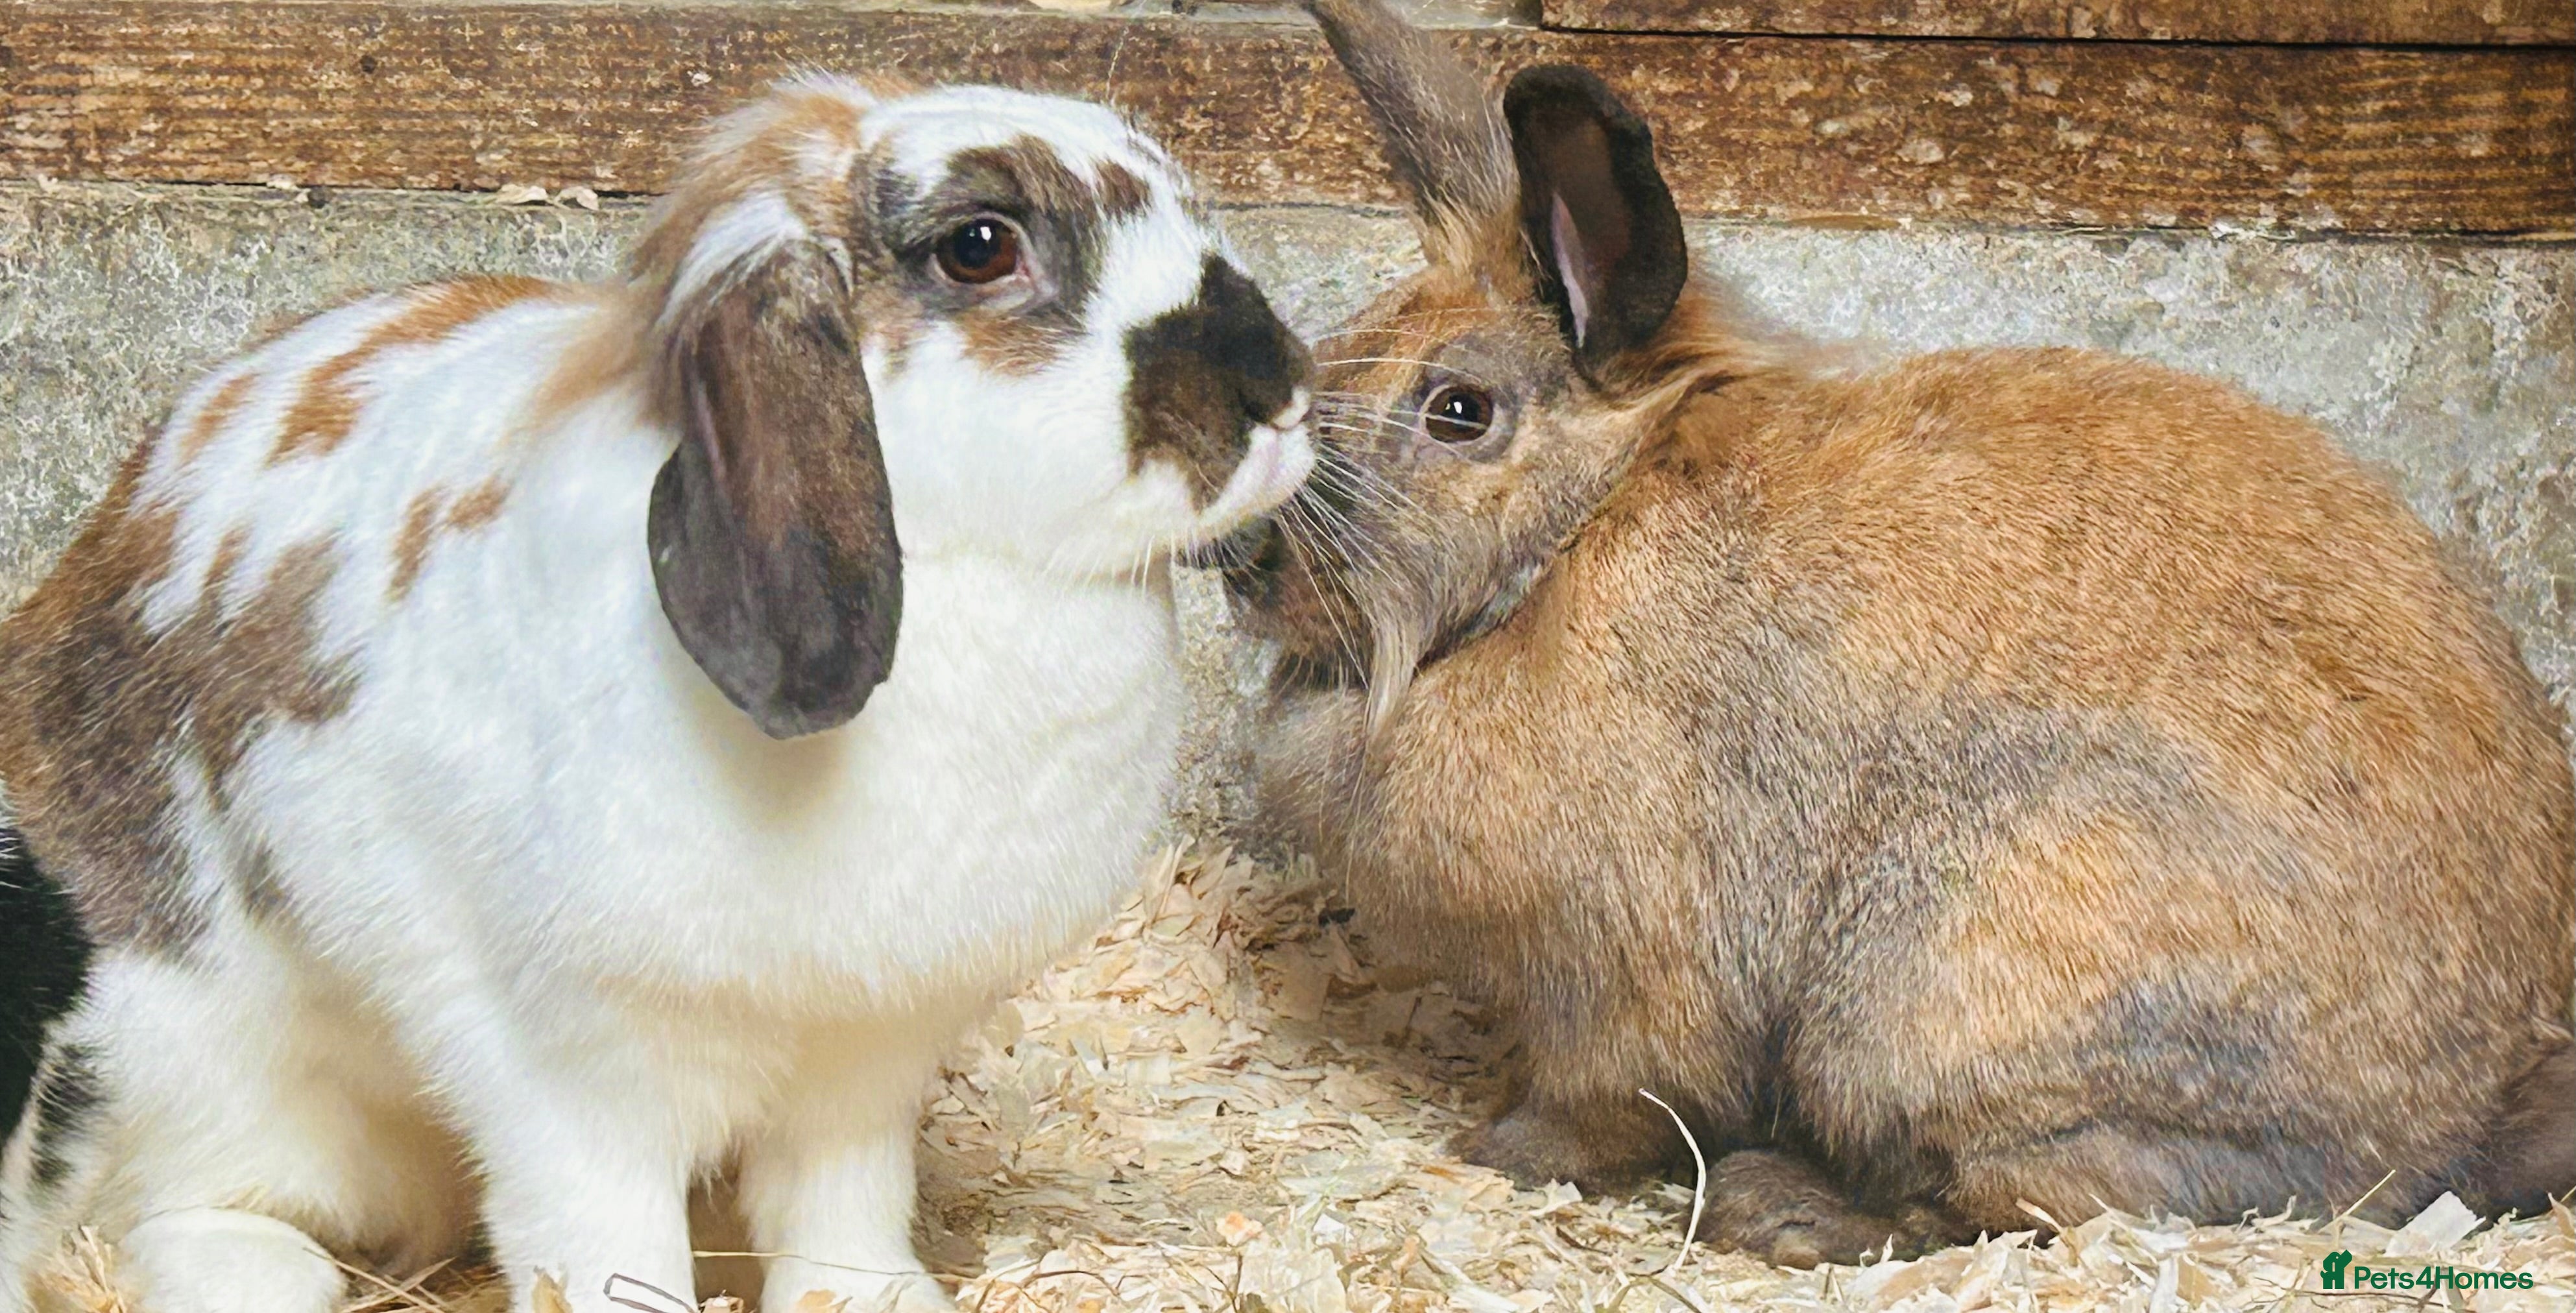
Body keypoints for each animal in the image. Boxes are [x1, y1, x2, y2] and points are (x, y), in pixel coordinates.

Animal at [0, 73, 1312, 1313]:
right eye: (979, 245)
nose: (1279, 389)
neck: (974, 569)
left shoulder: (862, 1066)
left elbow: (844, 1213)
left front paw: (880, 1297)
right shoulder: (567, 1068)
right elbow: (602, 1236)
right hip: (188, 1055)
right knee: (185, 1207)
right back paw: (264, 1276)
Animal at [1228, 0, 2576, 1267]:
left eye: (1459, 411)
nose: (1237, 553)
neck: (1577, 530)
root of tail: (2462, 1116)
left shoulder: (1623, 977)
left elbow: (1612, 1097)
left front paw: (1493, 1147)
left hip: (1932, 1021)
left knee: (2021, 1199)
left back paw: (1778, 1207)